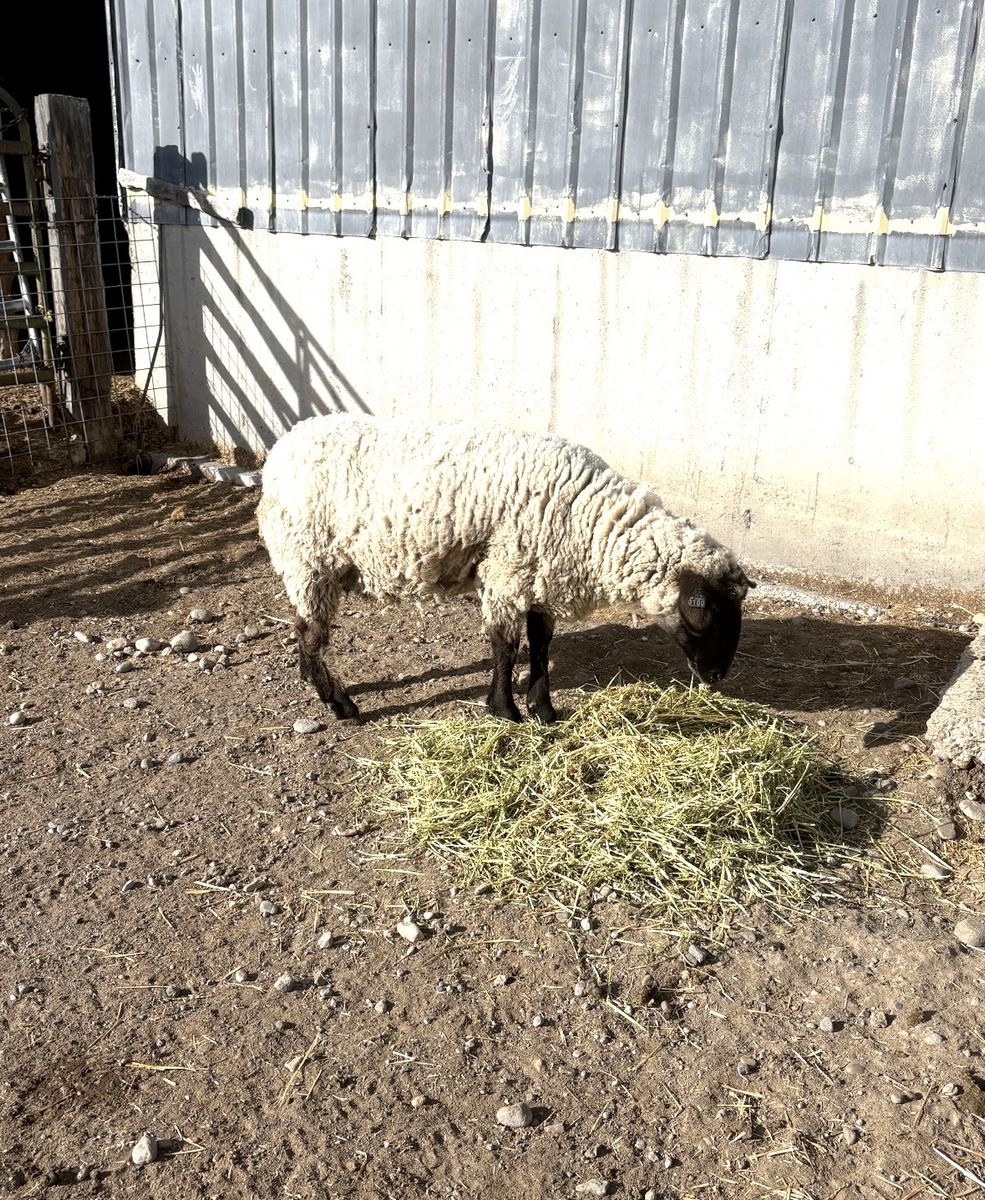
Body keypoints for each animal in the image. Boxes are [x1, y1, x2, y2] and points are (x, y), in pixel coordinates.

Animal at [257, 415, 754, 723]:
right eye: (707, 616)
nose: (717, 677)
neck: (588, 517)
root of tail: (281, 450)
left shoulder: (541, 575)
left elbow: (540, 643)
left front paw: (543, 709)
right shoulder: (507, 572)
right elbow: (505, 646)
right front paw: (505, 710)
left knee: (305, 635)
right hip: (309, 561)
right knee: (310, 636)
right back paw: (339, 704)